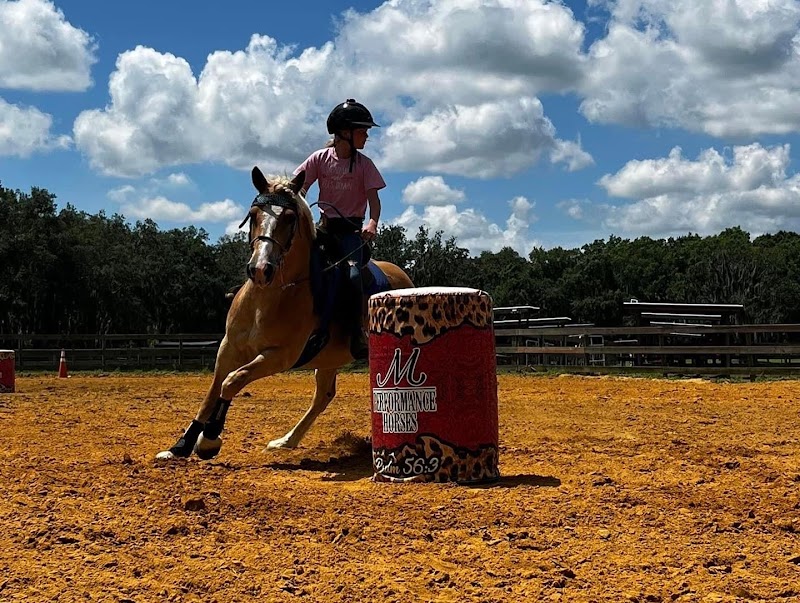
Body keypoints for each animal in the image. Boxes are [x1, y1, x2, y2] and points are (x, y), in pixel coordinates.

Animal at [156, 166, 414, 460]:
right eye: (253, 214)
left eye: (289, 218)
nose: (260, 269)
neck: (269, 298)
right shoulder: (229, 347)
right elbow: (212, 392)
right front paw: (181, 445)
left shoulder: (280, 356)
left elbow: (232, 381)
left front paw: (210, 439)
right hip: (329, 359)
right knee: (323, 396)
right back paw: (286, 441)